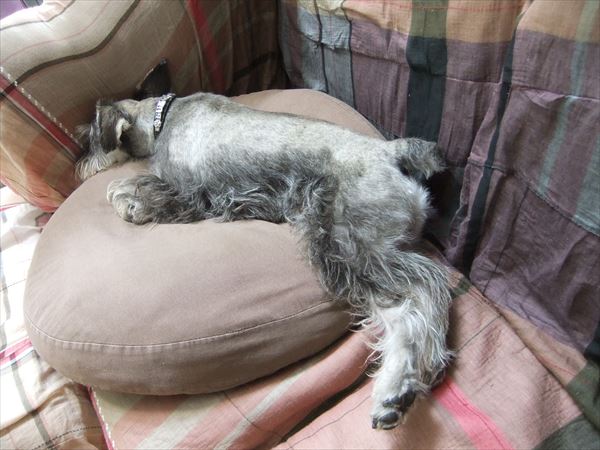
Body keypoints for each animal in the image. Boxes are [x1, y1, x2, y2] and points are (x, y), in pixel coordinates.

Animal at [75, 79, 452, 430]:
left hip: (349, 246)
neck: (161, 118)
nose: (80, 167)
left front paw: (128, 201)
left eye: (88, 138)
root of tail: (391, 151)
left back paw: (395, 390)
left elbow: (144, 190)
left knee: (420, 292)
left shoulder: (191, 190)